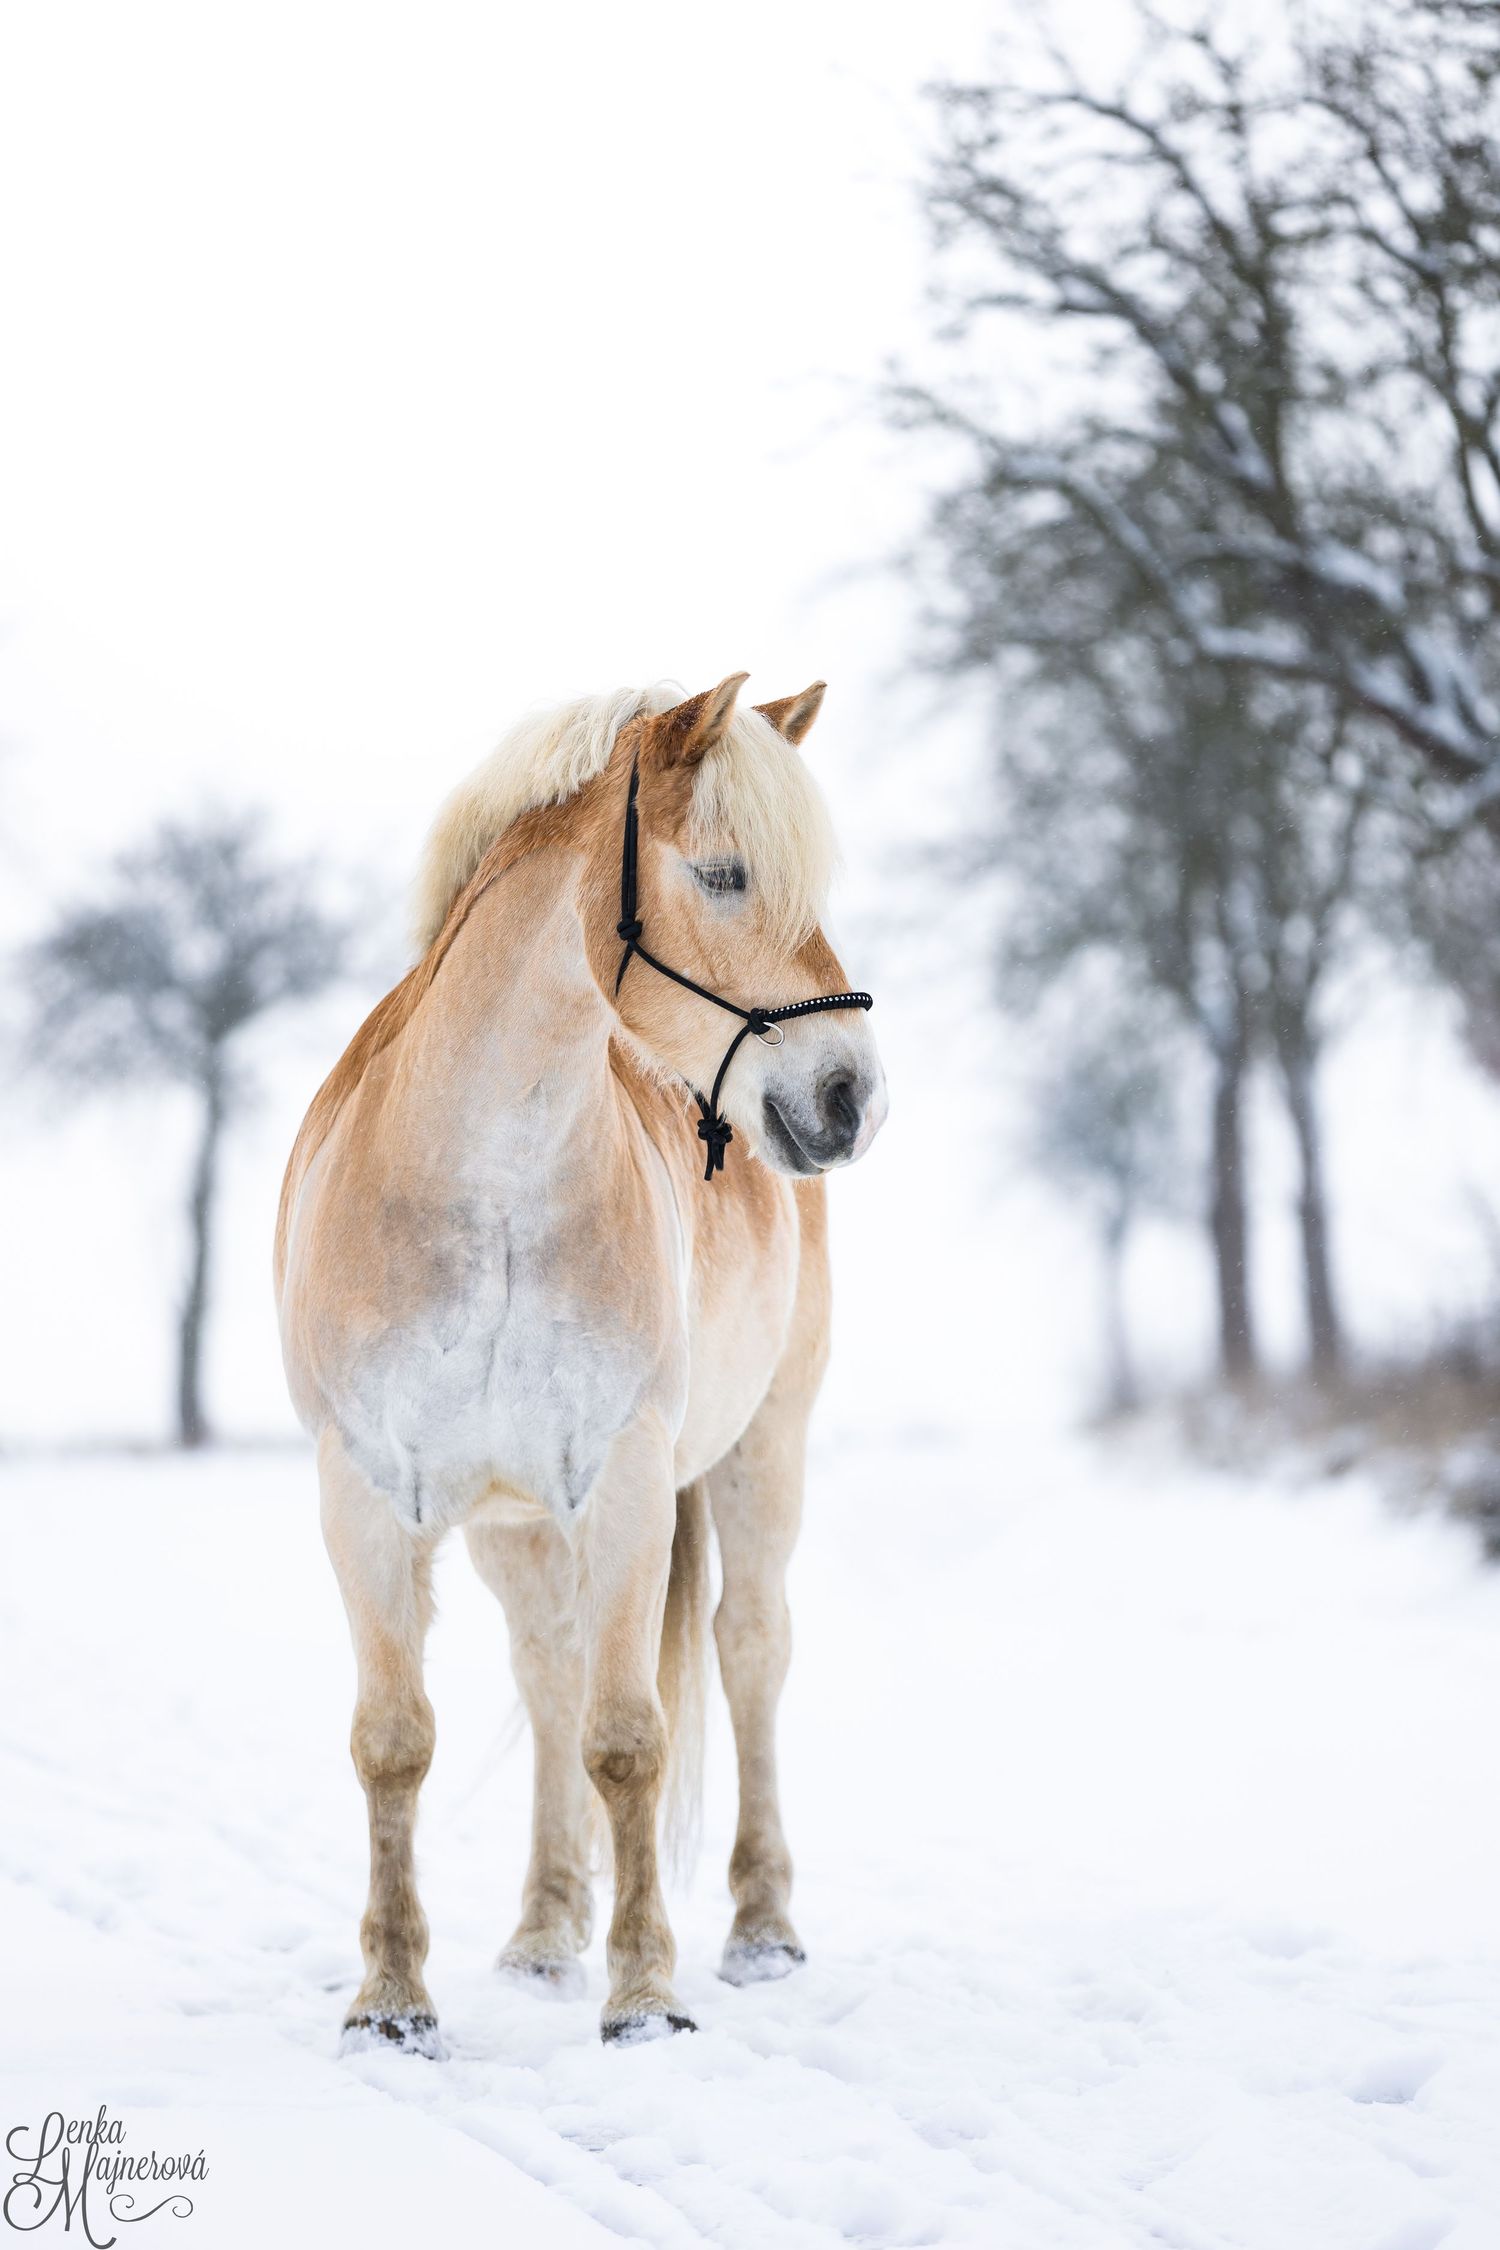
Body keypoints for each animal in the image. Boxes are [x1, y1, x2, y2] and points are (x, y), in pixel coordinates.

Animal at [274, 674, 887, 2048]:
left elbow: (627, 1741)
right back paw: (545, 1934)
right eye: (723, 873)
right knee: (547, 1671)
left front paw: (646, 1997)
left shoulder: (626, 1484)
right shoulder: (362, 1498)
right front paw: (392, 2004)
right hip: (512, 1523)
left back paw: (759, 1930)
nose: (848, 1098)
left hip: (762, 1452)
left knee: (747, 1650)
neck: (485, 1187)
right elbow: (396, 1741)